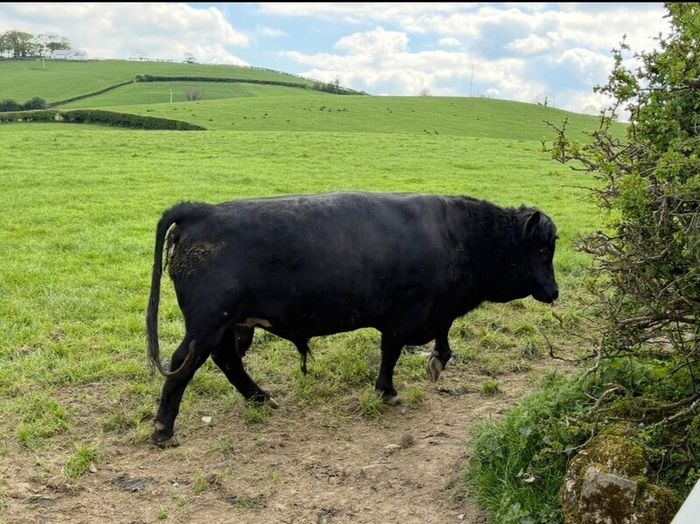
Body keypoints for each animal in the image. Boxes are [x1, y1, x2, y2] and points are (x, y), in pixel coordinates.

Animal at [147, 192, 558, 446]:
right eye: (541, 250)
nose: (554, 291)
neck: (456, 235)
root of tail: (202, 211)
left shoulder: (435, 309)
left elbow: (442, 335)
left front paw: (437, 362)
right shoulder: (405, 314)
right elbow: (392, 351)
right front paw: (388, 391)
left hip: (228, 325)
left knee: (226, 359)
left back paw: (261, 398)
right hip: (207, 324)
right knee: (184, 364)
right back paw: (163, 429)